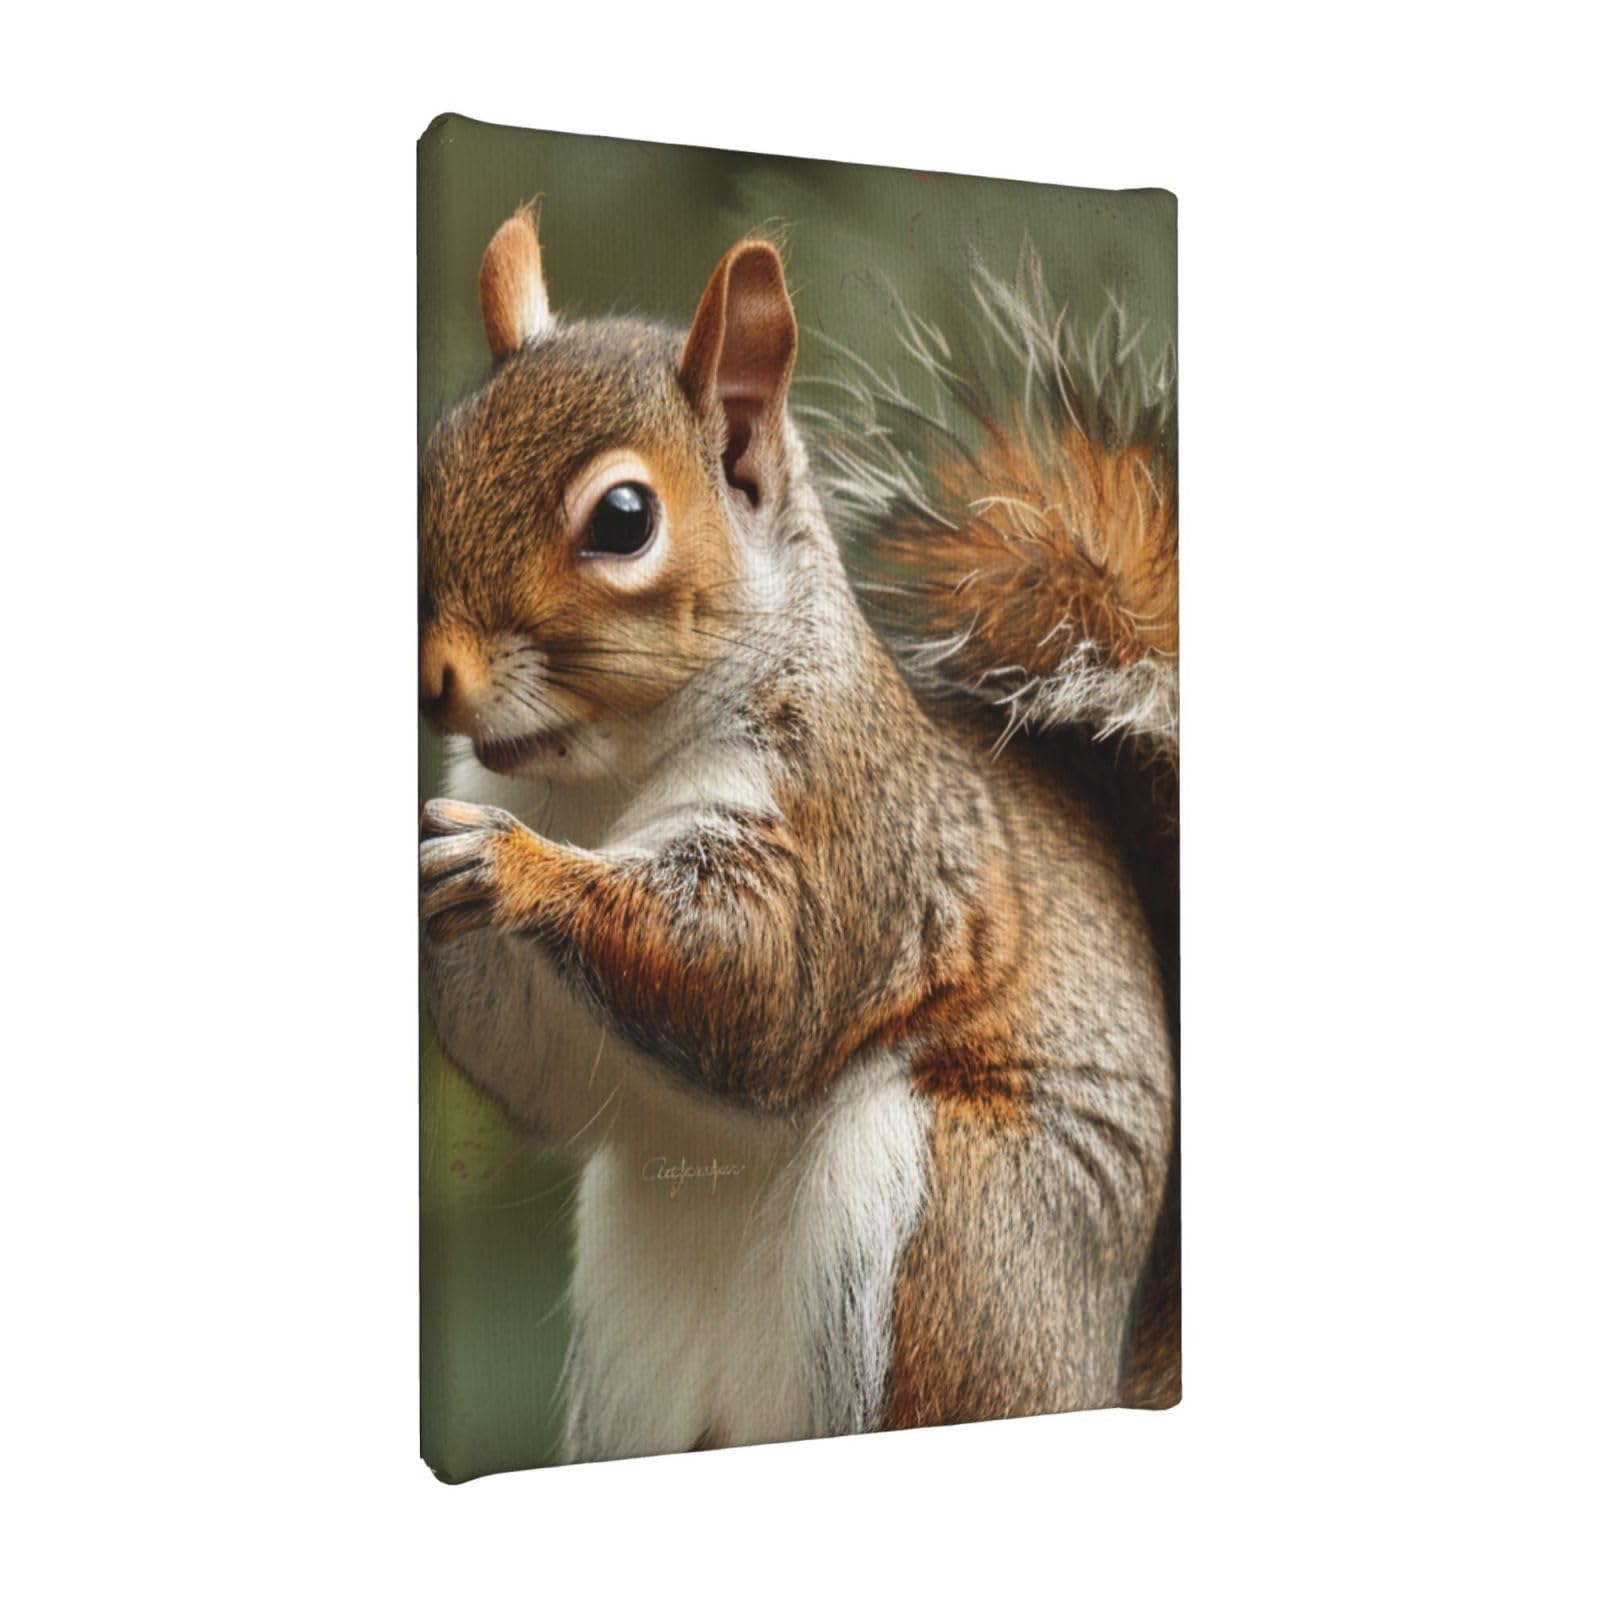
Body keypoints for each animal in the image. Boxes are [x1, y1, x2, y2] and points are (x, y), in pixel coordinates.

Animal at [420, 203, 1178, 1461]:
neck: (596, 781)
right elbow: (549, 1073)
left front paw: (511, 866)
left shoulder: (848, 829)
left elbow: (761, 976)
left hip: (966, 1232)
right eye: (434, 461)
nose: (432, 682)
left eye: (623, 519)